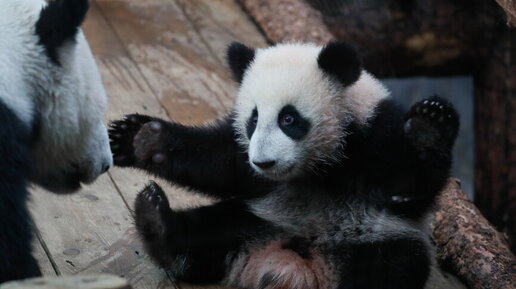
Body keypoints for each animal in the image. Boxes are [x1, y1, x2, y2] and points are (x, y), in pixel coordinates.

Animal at [109, 41, 460, 288]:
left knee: (388, 269)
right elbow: (222, 163)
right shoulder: (249, 162)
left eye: (288, 119)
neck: (322, 165)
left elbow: (411, 185)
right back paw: (156, 222)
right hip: (259, 219)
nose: (263, 162)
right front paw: (142, 138)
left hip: (379, 240)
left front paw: (428, 127)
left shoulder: (374, 131)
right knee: (206, 231)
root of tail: (290, 267)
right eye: (253, 119)